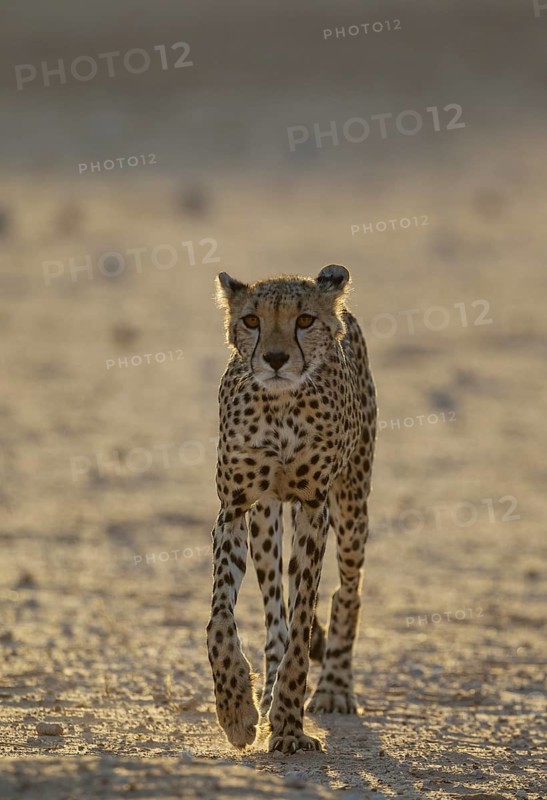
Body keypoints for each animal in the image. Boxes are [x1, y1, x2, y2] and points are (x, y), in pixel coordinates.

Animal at [206, 264, 376, 754]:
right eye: (251, 320)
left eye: (304, 320)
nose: (277, 358)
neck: (280, 406)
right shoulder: (234, 508)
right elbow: (220, 620)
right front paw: (237, 712)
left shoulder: (314, 507)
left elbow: (303, 624)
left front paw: (287, 725)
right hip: (265, 520)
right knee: (273, 612)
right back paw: (263, 693)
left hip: (352, 502)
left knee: (347, 592)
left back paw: (334, 687)